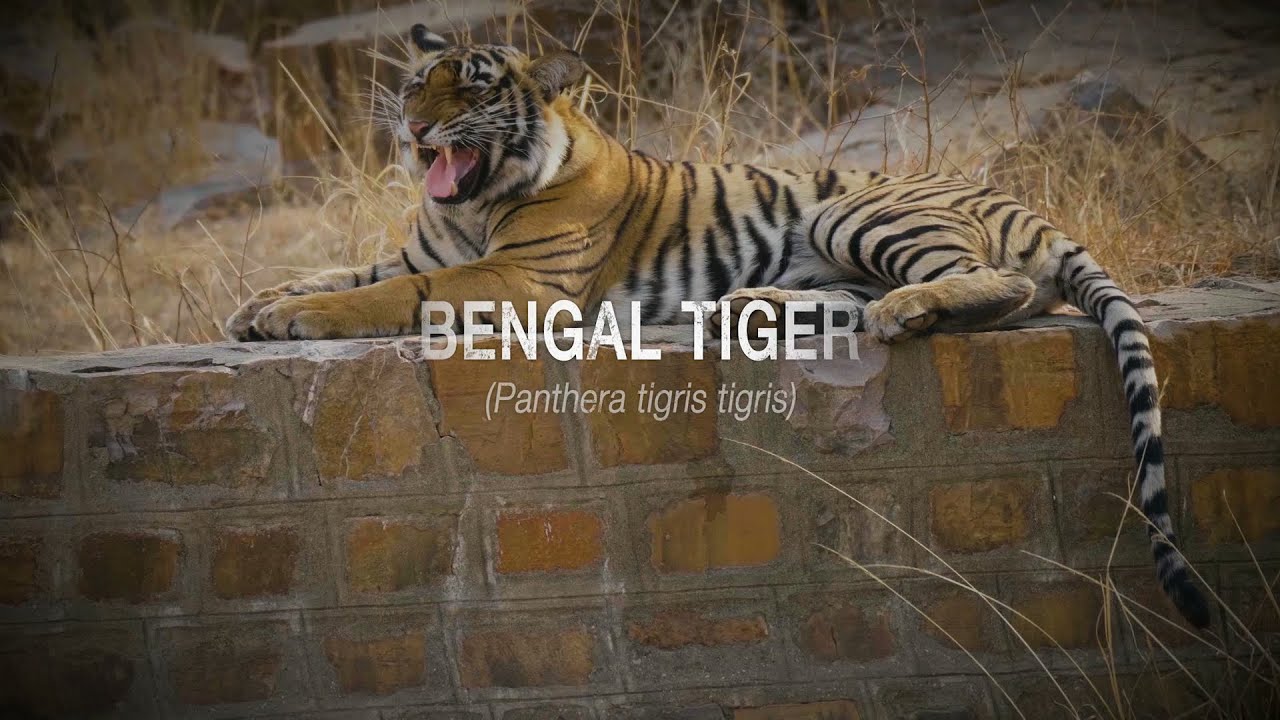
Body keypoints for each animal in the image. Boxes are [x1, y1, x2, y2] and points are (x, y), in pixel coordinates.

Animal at [224, 25, 1210, 629]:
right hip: (839, 247)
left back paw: (900, 308)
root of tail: (1020, 202)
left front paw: (295, 315)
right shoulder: (417, 249)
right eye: (414, 82)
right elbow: (351, 270)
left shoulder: (518, 278)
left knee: (995, 284)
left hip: (858, 214)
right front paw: (258, 303)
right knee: (863, 299)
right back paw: (750, 307)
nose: (413, 127)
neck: (473, 202)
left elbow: (384, 294)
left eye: (467, 93)